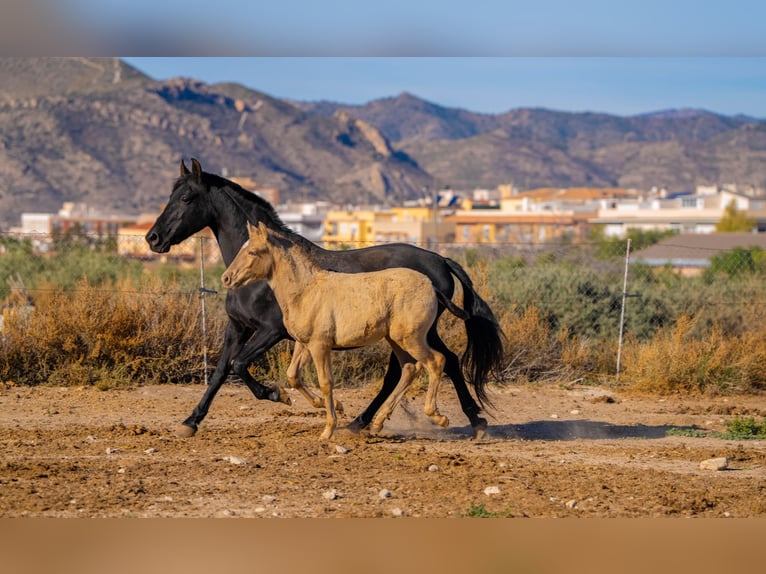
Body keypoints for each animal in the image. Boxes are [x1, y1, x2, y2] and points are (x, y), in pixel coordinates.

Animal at [222, 221, 471, 439]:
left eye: (253, 252)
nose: (227, 278)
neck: (306, 291)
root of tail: (431, 285)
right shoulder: (304, 344)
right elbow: (293, 376)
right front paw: (303, 401)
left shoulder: (320, 345)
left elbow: (326, 383)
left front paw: (328, 430)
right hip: (396, 340)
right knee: (410, 369)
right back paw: (378, 423)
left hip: (411, 338)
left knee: (437, 361)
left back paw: (438, 417)